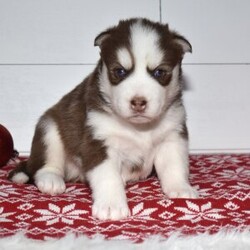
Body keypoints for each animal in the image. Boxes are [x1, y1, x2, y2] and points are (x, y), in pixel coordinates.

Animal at [8, 18, 198, 220]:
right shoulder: (99, 141)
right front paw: (111, 205)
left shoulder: (172, 136)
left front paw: (181, 187)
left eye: (159, 72)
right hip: (49, 129)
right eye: (120, 71)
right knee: (45, 164)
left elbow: (174, 166)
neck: (139, 128)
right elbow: (108, 176)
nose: (138, 102)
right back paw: (51, 180)